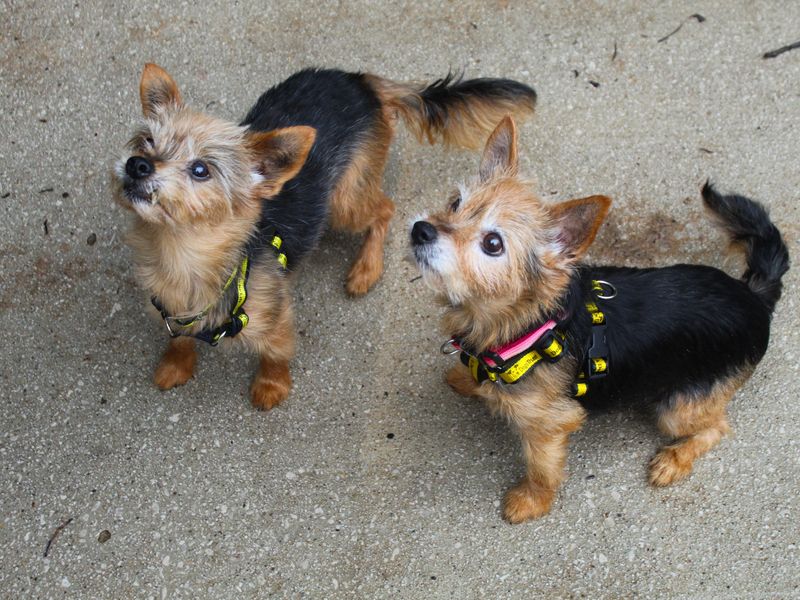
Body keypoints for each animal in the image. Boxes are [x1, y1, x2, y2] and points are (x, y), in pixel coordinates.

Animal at [111, 67, 536, 412]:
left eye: (201, 170)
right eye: (145, 142)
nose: (137, 165)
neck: (182, 254)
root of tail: (361, 80)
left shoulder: (276, 314)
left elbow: (276, 351)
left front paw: (271, 385)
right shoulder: (167, 307)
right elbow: (179, 337)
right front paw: (175, 364)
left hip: (344, 201)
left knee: (384, 209)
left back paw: (366, 269)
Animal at [412, 116, 788, 520]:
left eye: (493, 244)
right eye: (455, 202)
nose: (421, 229)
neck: (525, 325)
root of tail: (752, 296)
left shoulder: (549, 425)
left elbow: (542, 467)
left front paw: (531, 501)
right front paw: (468, 379)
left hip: (678, 408)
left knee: (716, 427)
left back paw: (674, 460)